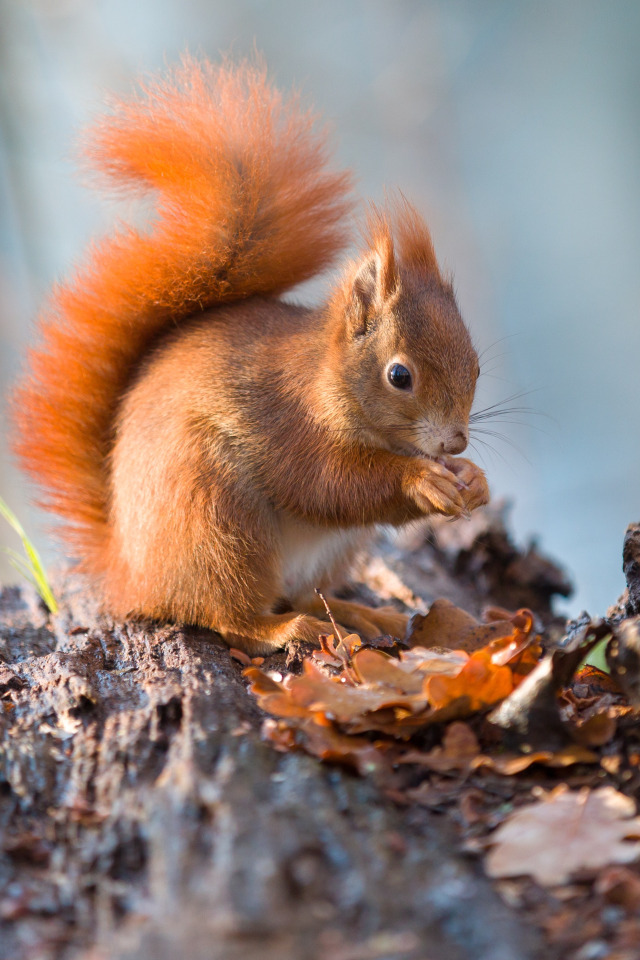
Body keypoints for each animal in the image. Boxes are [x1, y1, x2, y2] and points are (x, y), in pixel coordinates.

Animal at [11, 56, 490, 656]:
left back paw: (360, 615)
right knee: (231, 615)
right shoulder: (288, 423)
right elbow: (327, 483)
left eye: (478, 365)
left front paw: (473, 479)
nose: (456, 441)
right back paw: (288, 628)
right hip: (216, 519)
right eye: (399, 375)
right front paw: (422, 480)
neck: (326, 381)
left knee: (304, 593)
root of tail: (131, 572)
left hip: (327, 551)